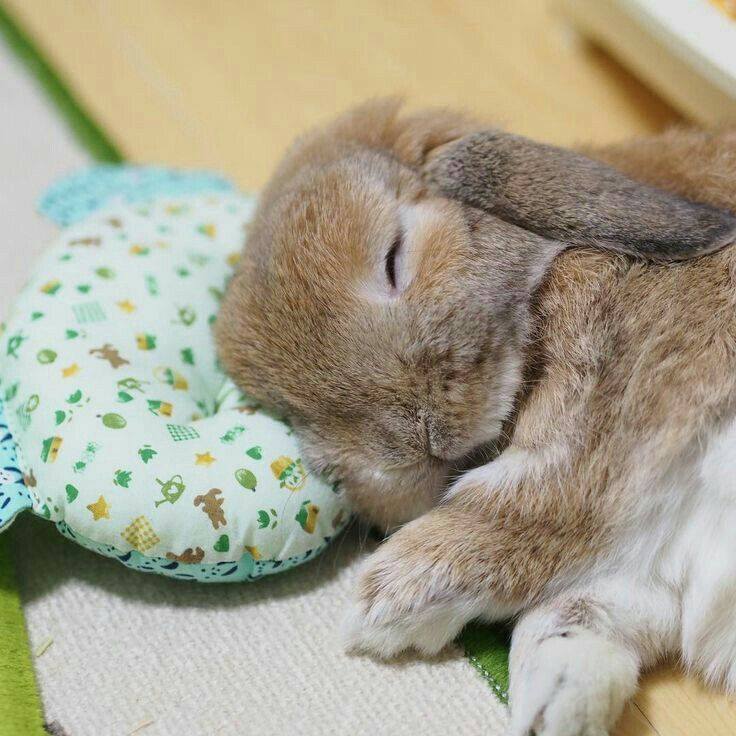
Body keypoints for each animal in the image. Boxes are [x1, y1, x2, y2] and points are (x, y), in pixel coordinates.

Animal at [216, 99, 736, 736]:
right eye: (291, 411)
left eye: (394, 257)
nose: (414, 442)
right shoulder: (651, 568)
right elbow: (578, 611)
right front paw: (554, 707)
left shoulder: (622, 415)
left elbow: (526, 504)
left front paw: (379, 605)